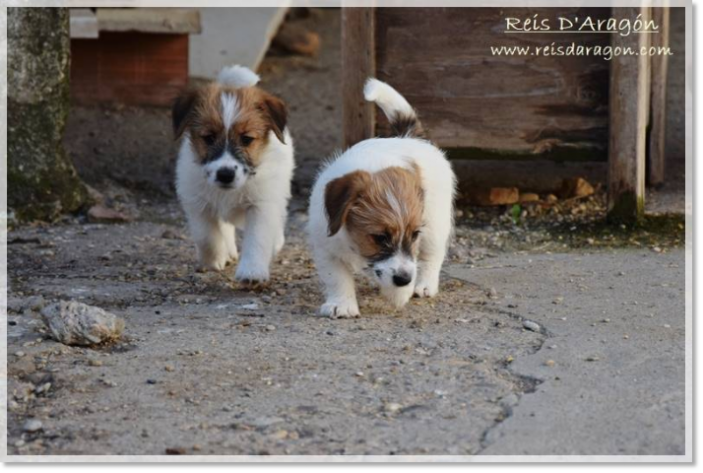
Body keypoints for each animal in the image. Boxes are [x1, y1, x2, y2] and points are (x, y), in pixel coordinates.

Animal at [174, 64, 294, 282]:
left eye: (246, 139)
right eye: (209, 137)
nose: (225, 174)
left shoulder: (261, 205)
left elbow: (257, 239)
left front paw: (252, 272)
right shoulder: (197, 202)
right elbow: (206, 235)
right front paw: (213, 259)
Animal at [308, 78, 456, 318]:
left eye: (414, 235)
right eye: (379, 237)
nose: (404, 280)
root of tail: (409, 137)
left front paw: (399, 294)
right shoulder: (326, 246)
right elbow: (337, 278)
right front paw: (342, 304)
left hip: (435, 224)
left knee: (433, 255)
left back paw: (424, 285)